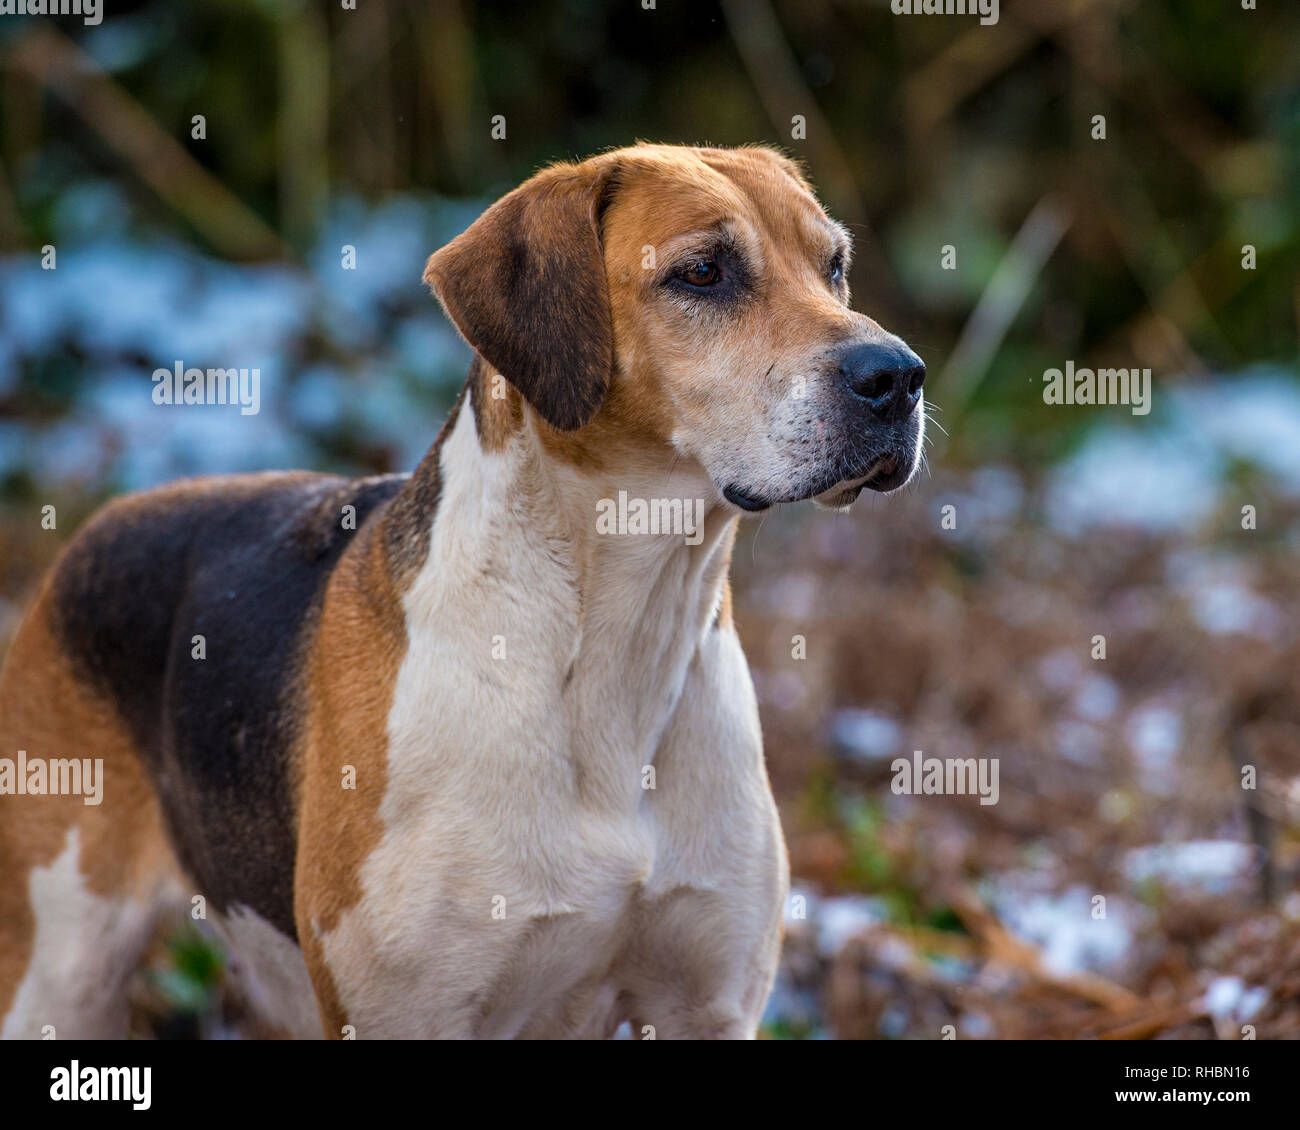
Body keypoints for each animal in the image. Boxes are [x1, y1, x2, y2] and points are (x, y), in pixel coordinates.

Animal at [0, 143, 925, 1040]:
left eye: (834, 265)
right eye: (702, 273)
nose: (899, 375)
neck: (612, 644)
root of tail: (99, 525)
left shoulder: (708, 1006)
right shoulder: (407, 1012)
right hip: (60, 975)